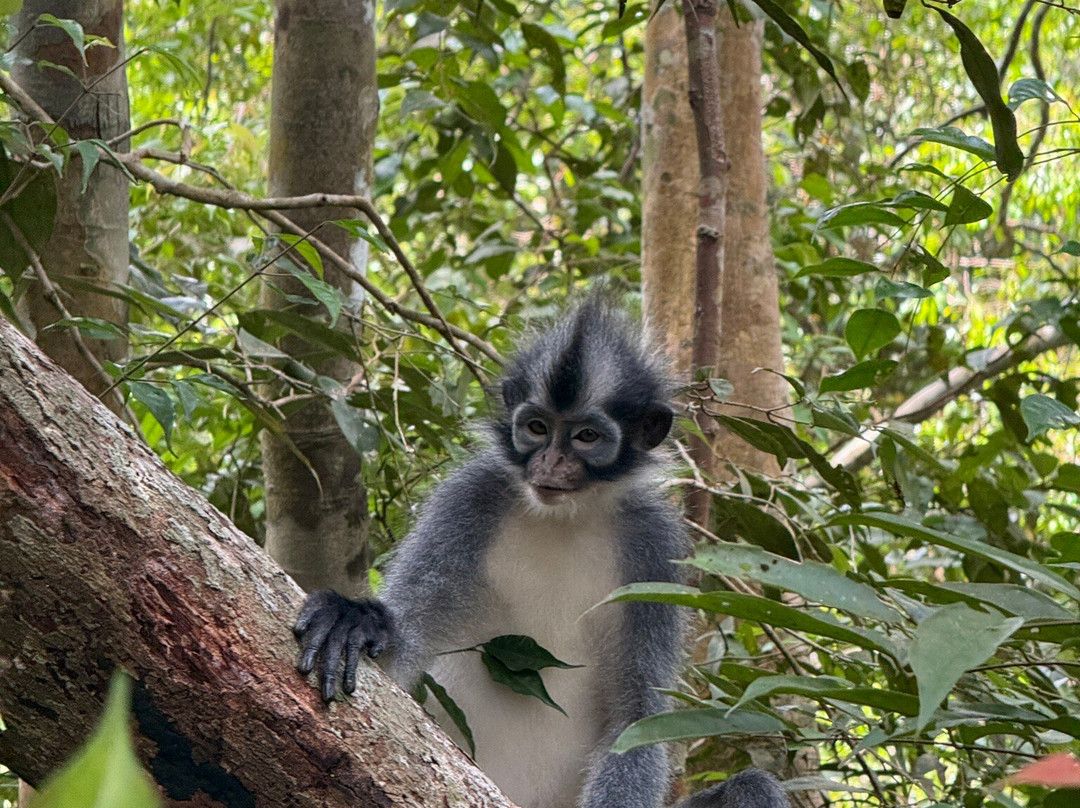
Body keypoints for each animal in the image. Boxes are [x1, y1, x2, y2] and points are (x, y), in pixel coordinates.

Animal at [294, 299, 790, 808]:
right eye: (536, 428)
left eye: (586, 436)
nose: (550, 463)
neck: (564, 517)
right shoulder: (472, 498)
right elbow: (397, 660)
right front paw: (359, 620)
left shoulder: (653, 545)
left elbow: (635, 719)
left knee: (754, 787)